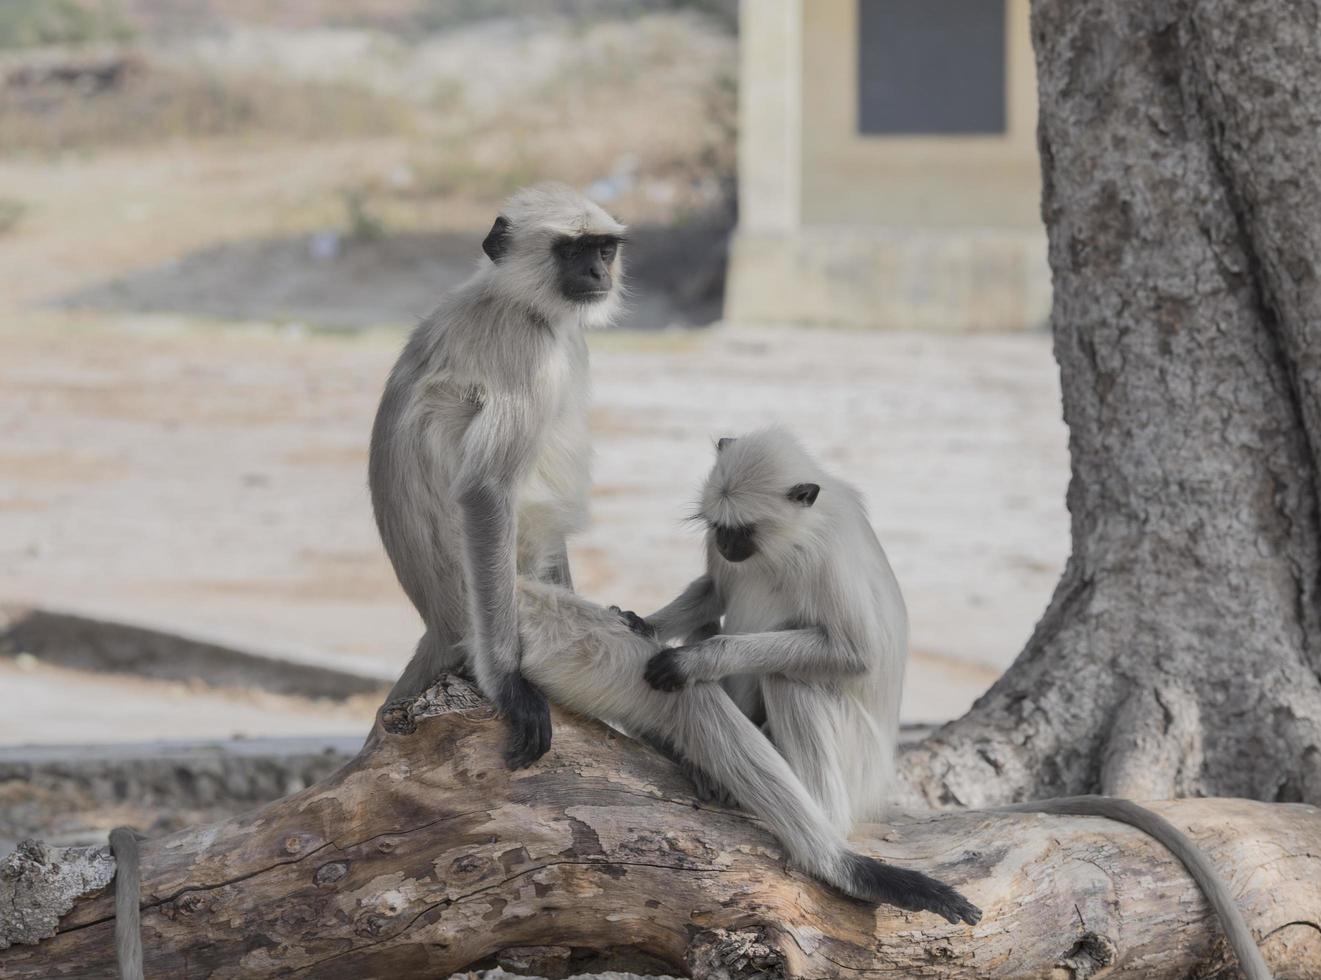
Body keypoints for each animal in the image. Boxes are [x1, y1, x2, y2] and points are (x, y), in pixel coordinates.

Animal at [367, 182, 623, 766]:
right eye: (572, 251)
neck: (517, 300)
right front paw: (510, 685)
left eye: (604, 249)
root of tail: (436, 625)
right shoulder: (522, 349)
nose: (598, 273)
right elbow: (486, 492)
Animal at [634, 430, 1273, 980]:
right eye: (719, 527)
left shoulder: (823, 554)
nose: (726, 545)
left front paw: (695, 662)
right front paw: (640, 621)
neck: (789, 539)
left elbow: (854, 656)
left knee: (791, 678)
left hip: (853, 756)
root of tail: (875, 785)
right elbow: (713, 591)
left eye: (743, 531)